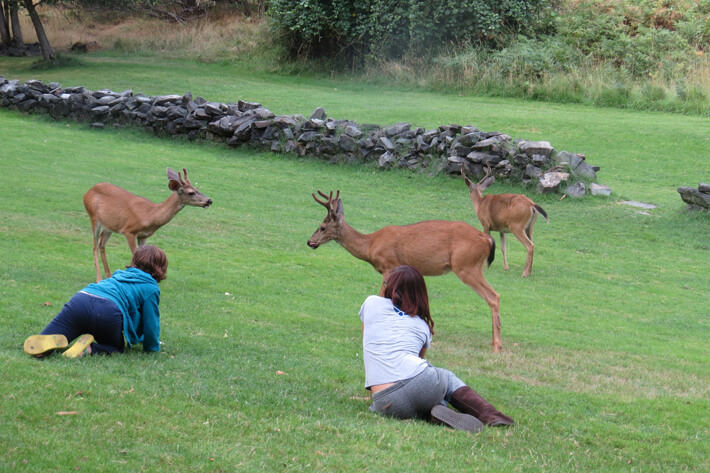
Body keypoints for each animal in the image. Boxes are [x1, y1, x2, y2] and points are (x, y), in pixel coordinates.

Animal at [308, 190, 506, 352]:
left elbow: (380, 296)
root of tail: (487, 239)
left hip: (466, 265)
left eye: (322, 227)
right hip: (471, 266)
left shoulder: (389, 266)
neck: (370, 246)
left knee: (493, 296)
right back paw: (495, 342)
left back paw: (497, 345)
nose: (310, 242)